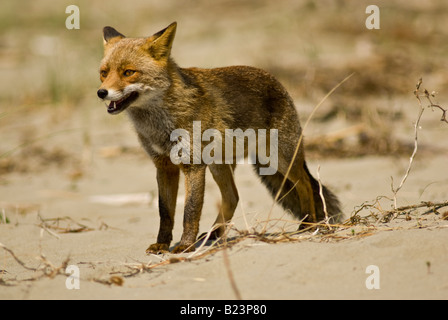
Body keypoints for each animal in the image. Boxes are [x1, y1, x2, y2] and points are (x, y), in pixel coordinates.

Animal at [98, 21, 342, 254]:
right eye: (104, 73)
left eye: (128, 72)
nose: (101, 92)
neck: (159, 124)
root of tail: (275, 80)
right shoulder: (164, 165)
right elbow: (165, 212)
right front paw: (161, 245)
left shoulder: (193, 164)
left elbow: (190, 211)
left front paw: (185, 246)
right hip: (221, 165)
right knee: (233, 196)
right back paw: (214, 233)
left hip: (279, 158)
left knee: (305, 184)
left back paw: (308, 224)